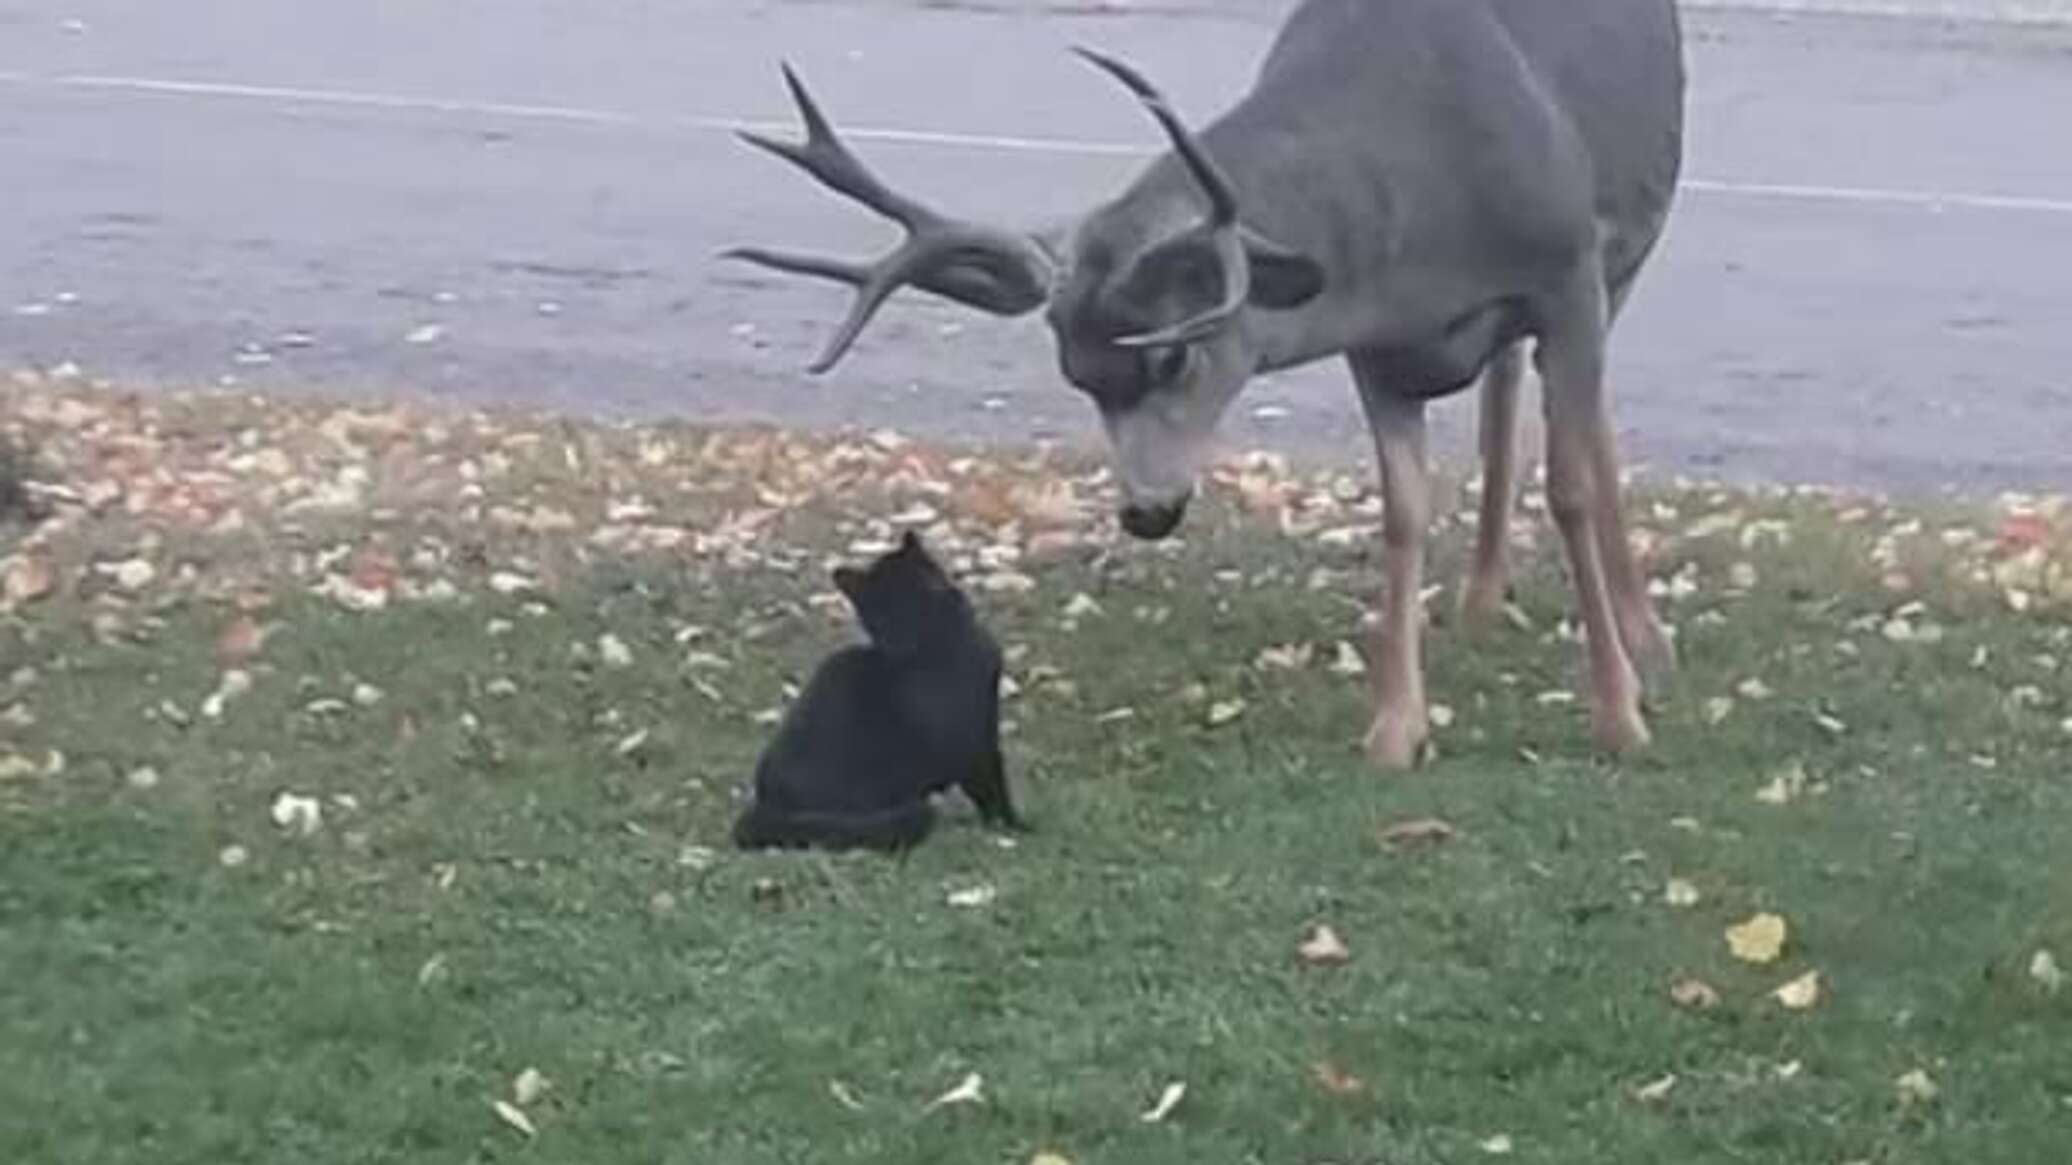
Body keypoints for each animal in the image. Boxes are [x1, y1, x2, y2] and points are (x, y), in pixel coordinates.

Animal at [725, 0, 1682, 766]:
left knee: (1588, 426)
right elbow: (1403, 513)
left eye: (1173, 354)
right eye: (1076, 378)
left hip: (1622, 263)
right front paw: (1395, 729)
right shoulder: (1377, 346)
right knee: (1505, 386)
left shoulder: (1569, 272)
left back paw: (1643, 631)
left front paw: (1619, 716)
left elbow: (1570, 485)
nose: (1146, 511)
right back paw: (1484, 597)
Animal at [733, 530, 1023, 849]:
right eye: (880, 614)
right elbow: (989, 788)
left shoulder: (985, 731)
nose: (899, 637)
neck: (943, 645)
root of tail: (766, 810)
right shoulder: (969, 744)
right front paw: (1009, 827)